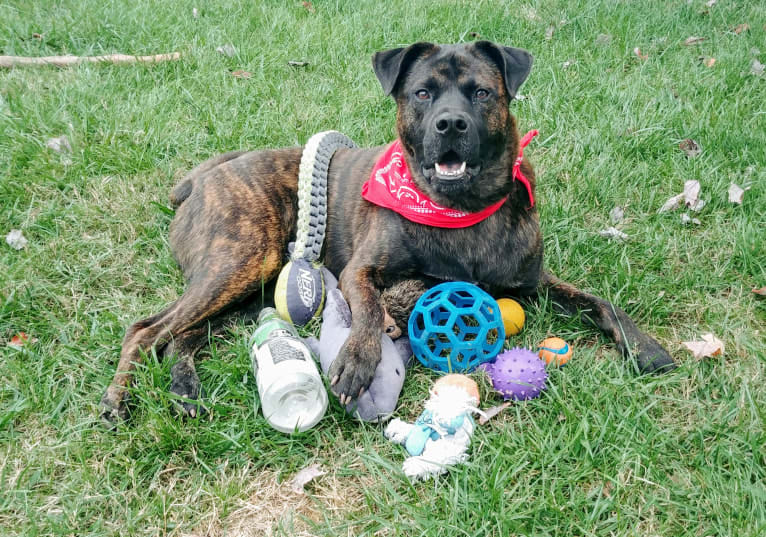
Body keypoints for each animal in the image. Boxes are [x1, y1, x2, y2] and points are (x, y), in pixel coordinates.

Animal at [100, 42, 680, 426]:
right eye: (422, 92)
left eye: (481, 93)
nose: (450, 123)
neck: (458, 209)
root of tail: (203, 177)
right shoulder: (360, 271)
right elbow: (368, 310)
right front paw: (358, 361)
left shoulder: (532, 281)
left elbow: (601, 301)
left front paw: (645, 347)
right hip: (243, 259)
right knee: (147, 330)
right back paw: (118, 399)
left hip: (249, 288)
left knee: (185, 335)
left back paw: (184, 389)